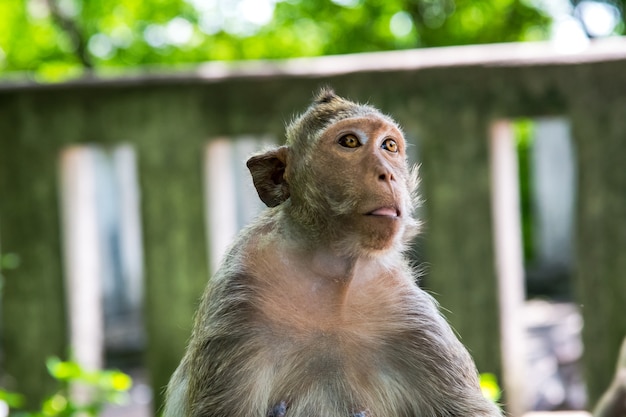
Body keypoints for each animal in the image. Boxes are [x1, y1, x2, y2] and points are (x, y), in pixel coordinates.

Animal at [162, 88, 502, 416]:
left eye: (389, 146)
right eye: (349, 142)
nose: (388, 174)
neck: (331, 270)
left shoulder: (413, 320)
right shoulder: (236, 302)